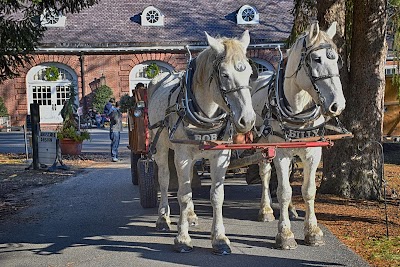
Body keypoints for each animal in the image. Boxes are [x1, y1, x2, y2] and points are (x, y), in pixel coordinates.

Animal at [147, 31, 256, 255]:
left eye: (250, 74)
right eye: (224, 74)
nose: (247, 120)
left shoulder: (221, 155)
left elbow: (217, 195)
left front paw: (220, 238)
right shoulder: (182, 155)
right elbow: (183, 194)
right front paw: (182, 238)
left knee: (187, 180)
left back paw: (190, 215)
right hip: (161, 147)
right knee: (164, 179)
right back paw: (163, 218)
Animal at [252, 22, 346, 250]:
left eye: (336, 59)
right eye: (317, 59)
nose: (337, 105)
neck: (298, 111)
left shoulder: (313, 152)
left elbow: (308, 190)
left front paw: (313, 232)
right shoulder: (280, 153)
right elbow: (284, 191)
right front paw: (285, 234)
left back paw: (291, 211)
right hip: (262, 146)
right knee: (265, 174)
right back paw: (266, 210)